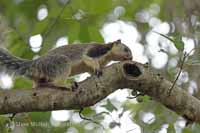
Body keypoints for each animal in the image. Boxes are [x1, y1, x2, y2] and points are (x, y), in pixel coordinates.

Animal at [0, 39, 133, 90]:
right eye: (126, 49)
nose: (131, 57)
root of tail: (35, 64)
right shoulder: (96, 50)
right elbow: (87, 58)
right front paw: (97, 68)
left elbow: (90, 69)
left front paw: (95, 71)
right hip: (60, 63)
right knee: (56, 82)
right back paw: (65, 85)